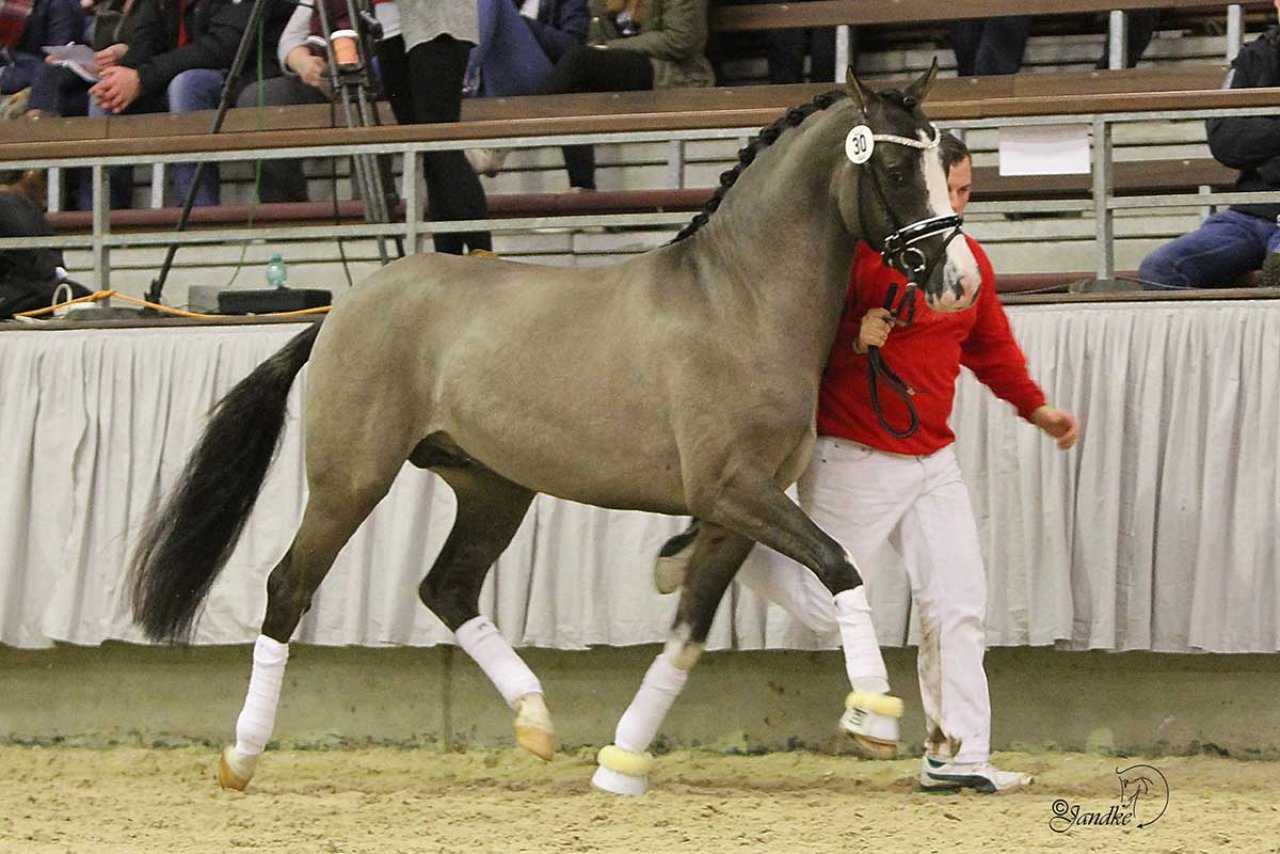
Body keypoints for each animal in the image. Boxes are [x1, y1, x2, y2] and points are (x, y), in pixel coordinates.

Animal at [129, 65, 972, 793]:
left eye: (940, 161)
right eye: (894, 169)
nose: (958, 282)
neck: (738, 301)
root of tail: (343, 307)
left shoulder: (737, 512)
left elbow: (689, 631)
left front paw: (622, 763)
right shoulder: (732, 491)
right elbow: (840, 567)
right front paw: (874, 717)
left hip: (493, 486)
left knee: (447, 586)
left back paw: (535, 720)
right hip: (351, 480)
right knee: (288, 587)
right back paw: (241, 757)